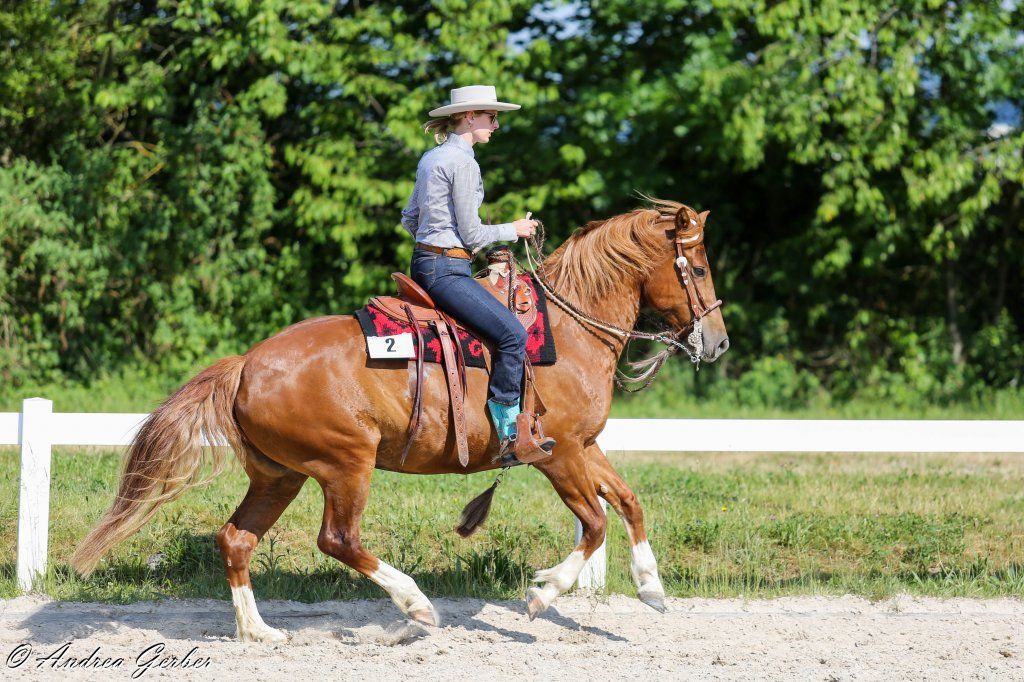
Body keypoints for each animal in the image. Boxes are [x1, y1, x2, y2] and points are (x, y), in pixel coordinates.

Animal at [71, 199, 729, 641]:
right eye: (696, 269)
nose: (717, 342)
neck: (566, 331)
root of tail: (245, 365)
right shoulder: (559, 452)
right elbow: (593, 524)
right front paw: (543, 594)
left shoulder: (586, 446)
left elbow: (630, 502)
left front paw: (651, 587)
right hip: (345, 464)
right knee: (337, 539)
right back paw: (415, 607)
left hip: (280, 475)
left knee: (237, 539)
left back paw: (260, 632)